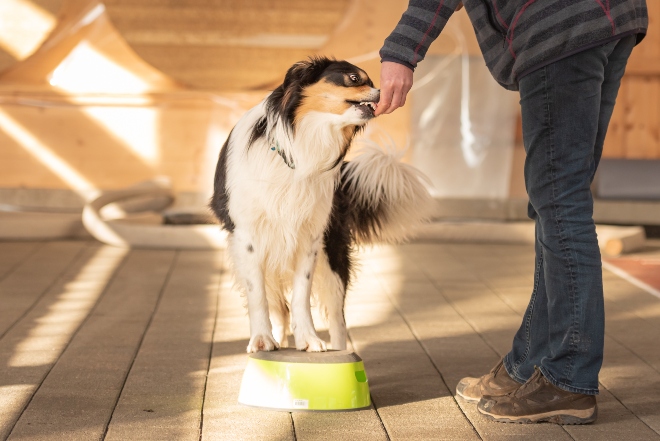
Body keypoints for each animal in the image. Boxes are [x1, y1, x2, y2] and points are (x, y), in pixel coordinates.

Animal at [211, 58, 434, 352]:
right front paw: (262, 339)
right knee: (278, 306)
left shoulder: (311, 236)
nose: (382, 93)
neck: (303, 143)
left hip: (333, 255)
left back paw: (340, 352)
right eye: (354, 78)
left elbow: (301, 295)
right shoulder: (248, 237)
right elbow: (257, 295)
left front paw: (307, 338)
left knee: (338, 318)